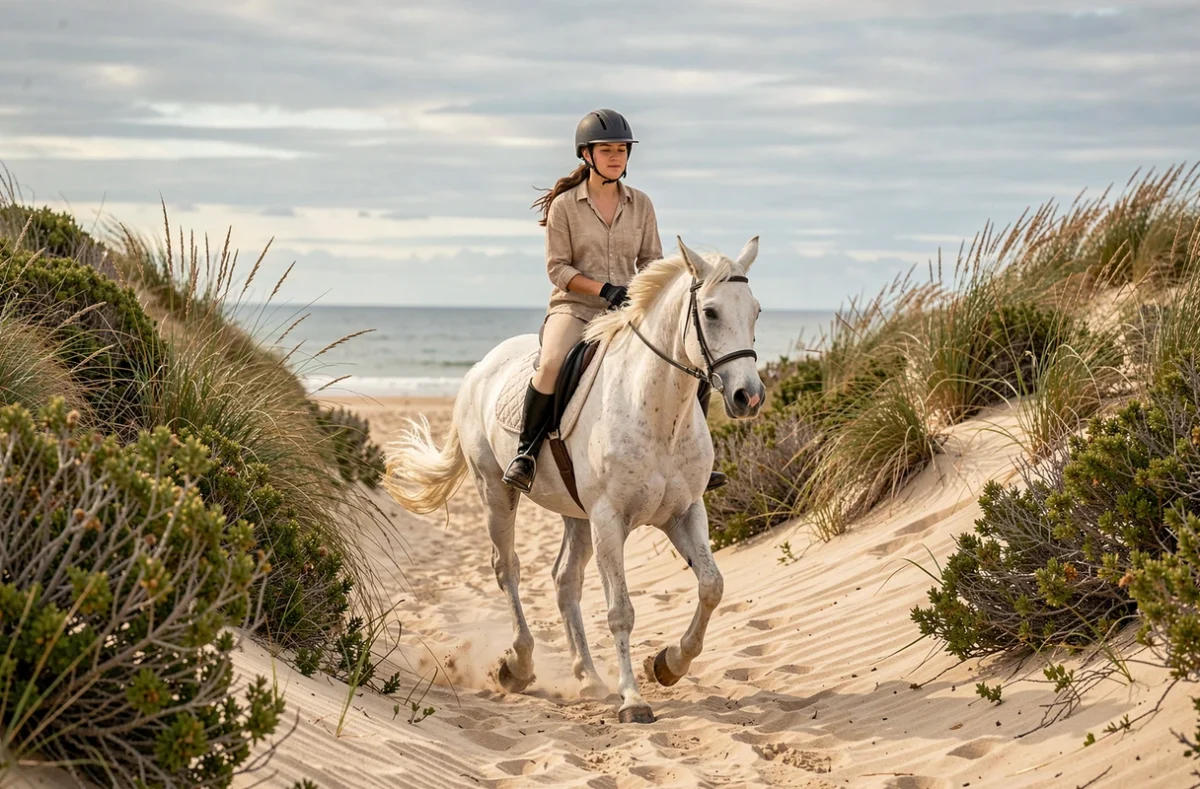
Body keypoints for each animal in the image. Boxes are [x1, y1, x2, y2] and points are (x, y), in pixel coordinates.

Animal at [381, 236, 765, 723]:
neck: (657, 410)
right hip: (497, 492)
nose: (748, 396)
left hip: (576, 516)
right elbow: (621, 610)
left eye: (755, 311)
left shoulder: (684, 513)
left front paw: (668, 664)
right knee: (507, 569)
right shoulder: (609, 519)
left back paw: (589, 678)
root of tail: (477, 369)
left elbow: (712, 586)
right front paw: (633, 700)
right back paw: (518, 666)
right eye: (711, 312)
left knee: (565, 581)